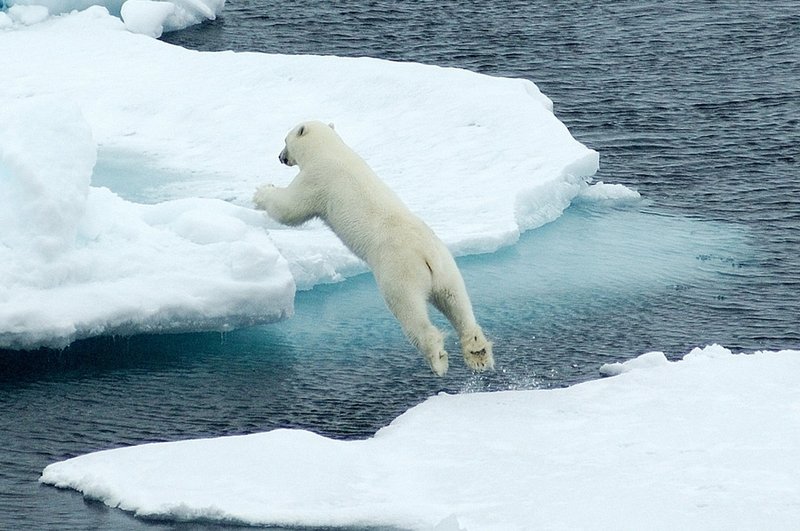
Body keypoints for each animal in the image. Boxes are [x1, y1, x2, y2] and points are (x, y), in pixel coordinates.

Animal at [255, 121, 494, 378]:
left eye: (285, 141)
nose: (281, 157)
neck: (329, 150)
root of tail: (427, 258)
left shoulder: (317, 180)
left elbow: (289, 208)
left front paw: (261, 191)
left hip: (398, 272)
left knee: (410, 311)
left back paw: (437, 358)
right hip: (447, 268)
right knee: (457, 303)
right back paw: (478, 352)